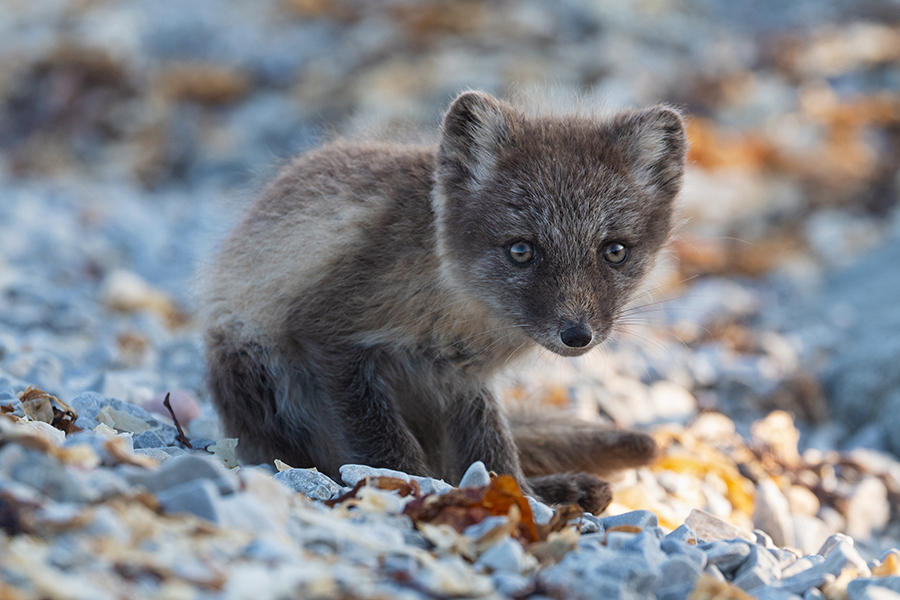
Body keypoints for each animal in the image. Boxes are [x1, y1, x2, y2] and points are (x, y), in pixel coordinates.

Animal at [198, 91, 687, 513]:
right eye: (521, 250)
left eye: (615, 251)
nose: (576, 335)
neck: (456, 297)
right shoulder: (331, 336)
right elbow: (384, 442)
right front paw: (415, 487)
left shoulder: (467, 380)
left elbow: (495, 456)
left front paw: (525, 500)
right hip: (268, 378)